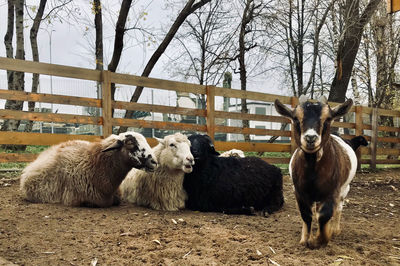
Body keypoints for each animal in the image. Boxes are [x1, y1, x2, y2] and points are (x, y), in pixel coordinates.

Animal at [276, 95, 356, 249]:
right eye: (296, 118)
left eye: (328, 119)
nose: (310, 138)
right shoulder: (299, 191)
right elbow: (306, 215)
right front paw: (305, 239)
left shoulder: (331, 191)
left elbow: (324, 215)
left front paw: (318, 239)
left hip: (344, 189)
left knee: (338, 209)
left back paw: (335, 230)